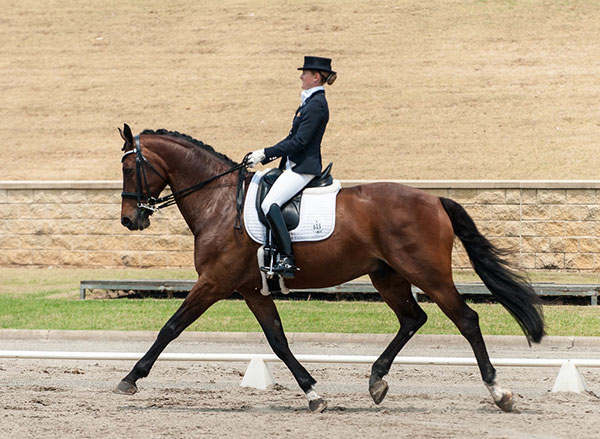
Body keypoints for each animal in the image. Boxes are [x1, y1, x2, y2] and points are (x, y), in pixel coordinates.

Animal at [115, 124, 548, 412]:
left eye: (128, 169)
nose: (130, 220)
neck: (219, 203)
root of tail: (434, 199)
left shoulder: (214, 282)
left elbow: (171, 327)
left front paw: (130, 379)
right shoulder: (252, 290)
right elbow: (278, 341)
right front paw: (312, 393)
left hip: (428, 274)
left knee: (466, 319)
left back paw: (499, 393)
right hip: (387, 275)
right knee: (413, 318)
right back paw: (376, 381)